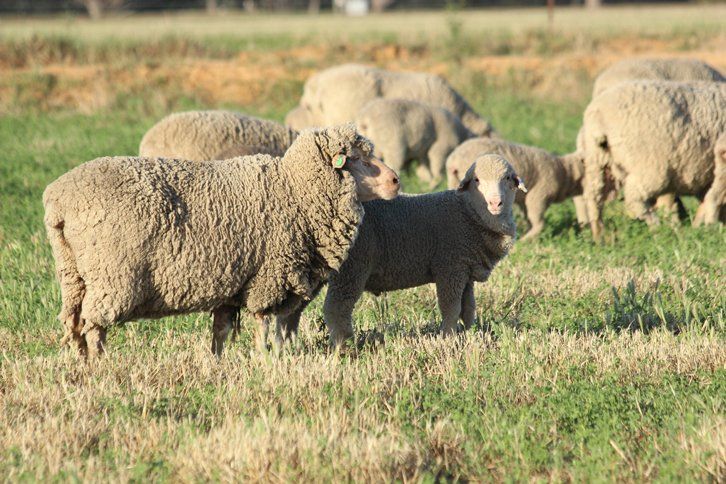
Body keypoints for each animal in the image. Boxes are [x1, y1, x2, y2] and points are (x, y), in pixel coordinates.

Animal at [43, 125, 400, 358]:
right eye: (356, 158)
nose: (396, 180)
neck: (294, 190)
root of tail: (58, 199)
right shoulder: (266, 278)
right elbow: (264, 324)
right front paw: (265, 359)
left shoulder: (233, 282)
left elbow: (223, 329)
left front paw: (219, 361)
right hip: (112, 277)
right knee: (94, 325)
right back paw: (100, 364)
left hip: (73, 275)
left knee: (73, 321)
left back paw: (81, 362)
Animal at [275, 154, 526, 347]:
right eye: (476, 180)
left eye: (507, 178)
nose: (495, 203)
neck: (468, 213)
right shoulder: (450, 267)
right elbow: (451, 308)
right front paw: (448, 339)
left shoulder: (465, 272)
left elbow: (468, 309)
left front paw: (469, 335)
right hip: (352, 268)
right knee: (336, 308)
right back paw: (343, 347)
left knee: (292, 310)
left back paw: (287, 346)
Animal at [580, 80, 726, 239]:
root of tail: (599, 114)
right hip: (651, 167)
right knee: (634, 200)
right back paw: (657, 227)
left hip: (597, 160)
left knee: (594, 199)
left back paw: (600, 236)